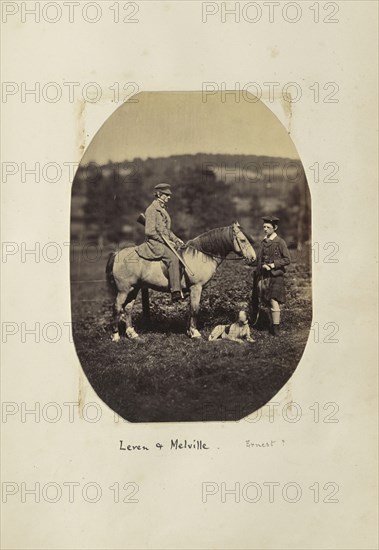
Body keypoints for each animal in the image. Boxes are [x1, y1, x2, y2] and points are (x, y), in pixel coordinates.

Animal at [105, 222, 256, 338]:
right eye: (243, 240)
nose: (253, 258)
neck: (201, 255)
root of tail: (117, 253)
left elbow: (190, 309)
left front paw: (189, 331)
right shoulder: (196, 288)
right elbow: (195, 309)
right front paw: (195, 333)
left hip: (134, 289)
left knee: (128, 308)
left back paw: (132, 334)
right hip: (123, 291)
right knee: (117, 308)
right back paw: (116, 336)